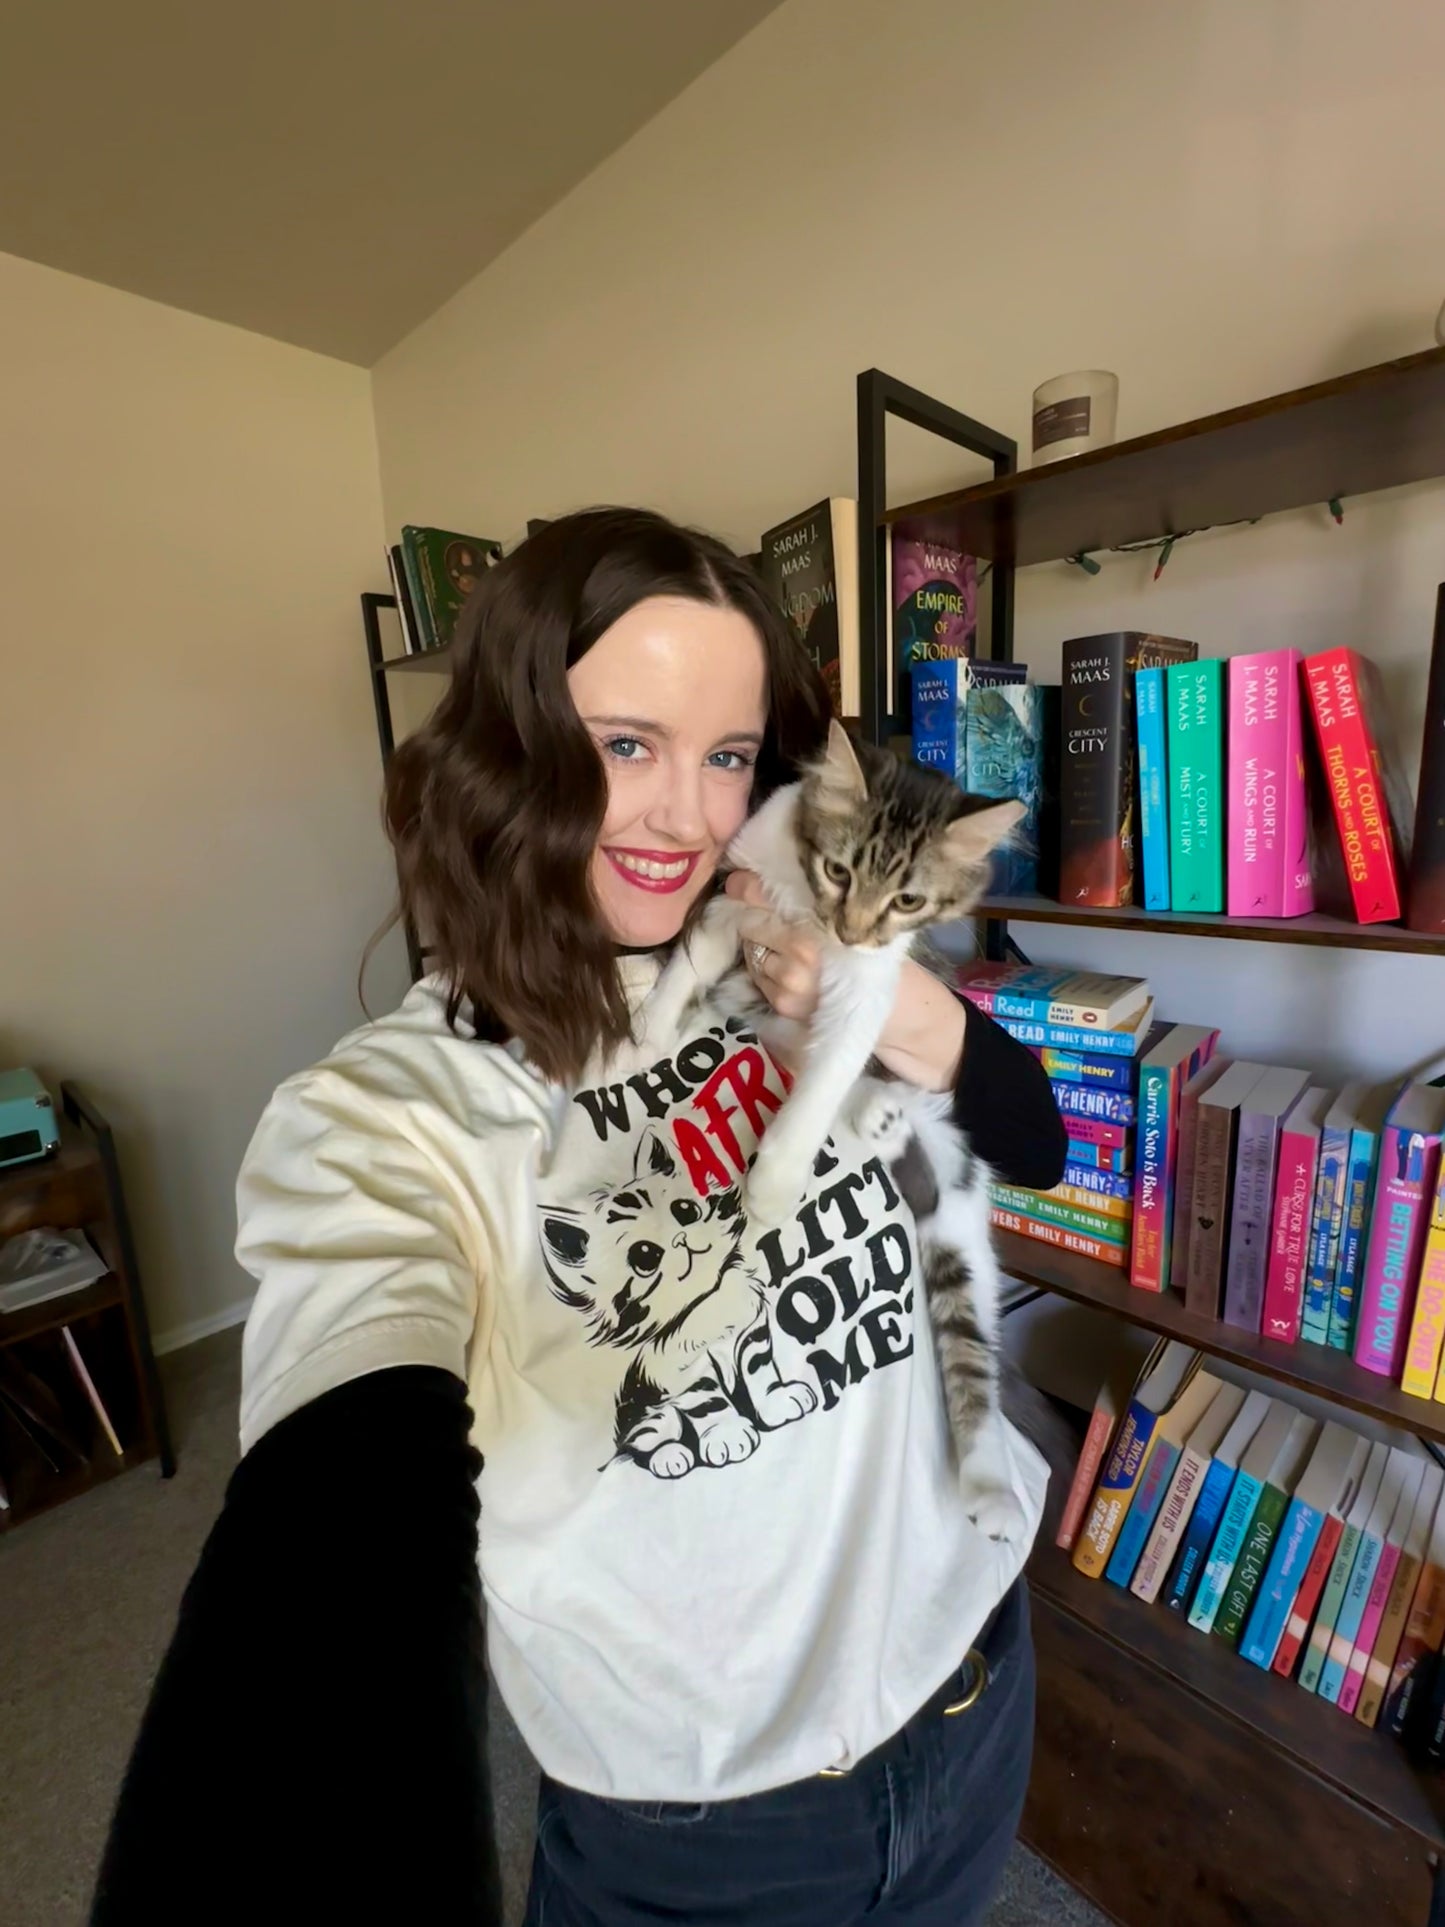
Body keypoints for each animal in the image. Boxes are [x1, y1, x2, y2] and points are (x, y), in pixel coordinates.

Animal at [643, 724, 1032, 1549]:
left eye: (907, 899)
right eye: (837, 868)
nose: (849, 929)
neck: (807, 916)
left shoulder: (871, 985)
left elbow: (823, 1080)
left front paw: (771, 1184)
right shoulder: (734, 896)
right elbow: (687, 961)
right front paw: (651, 1024)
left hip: (961, 1224)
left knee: (971, 1350)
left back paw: (990, 1489)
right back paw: (876, 1114)